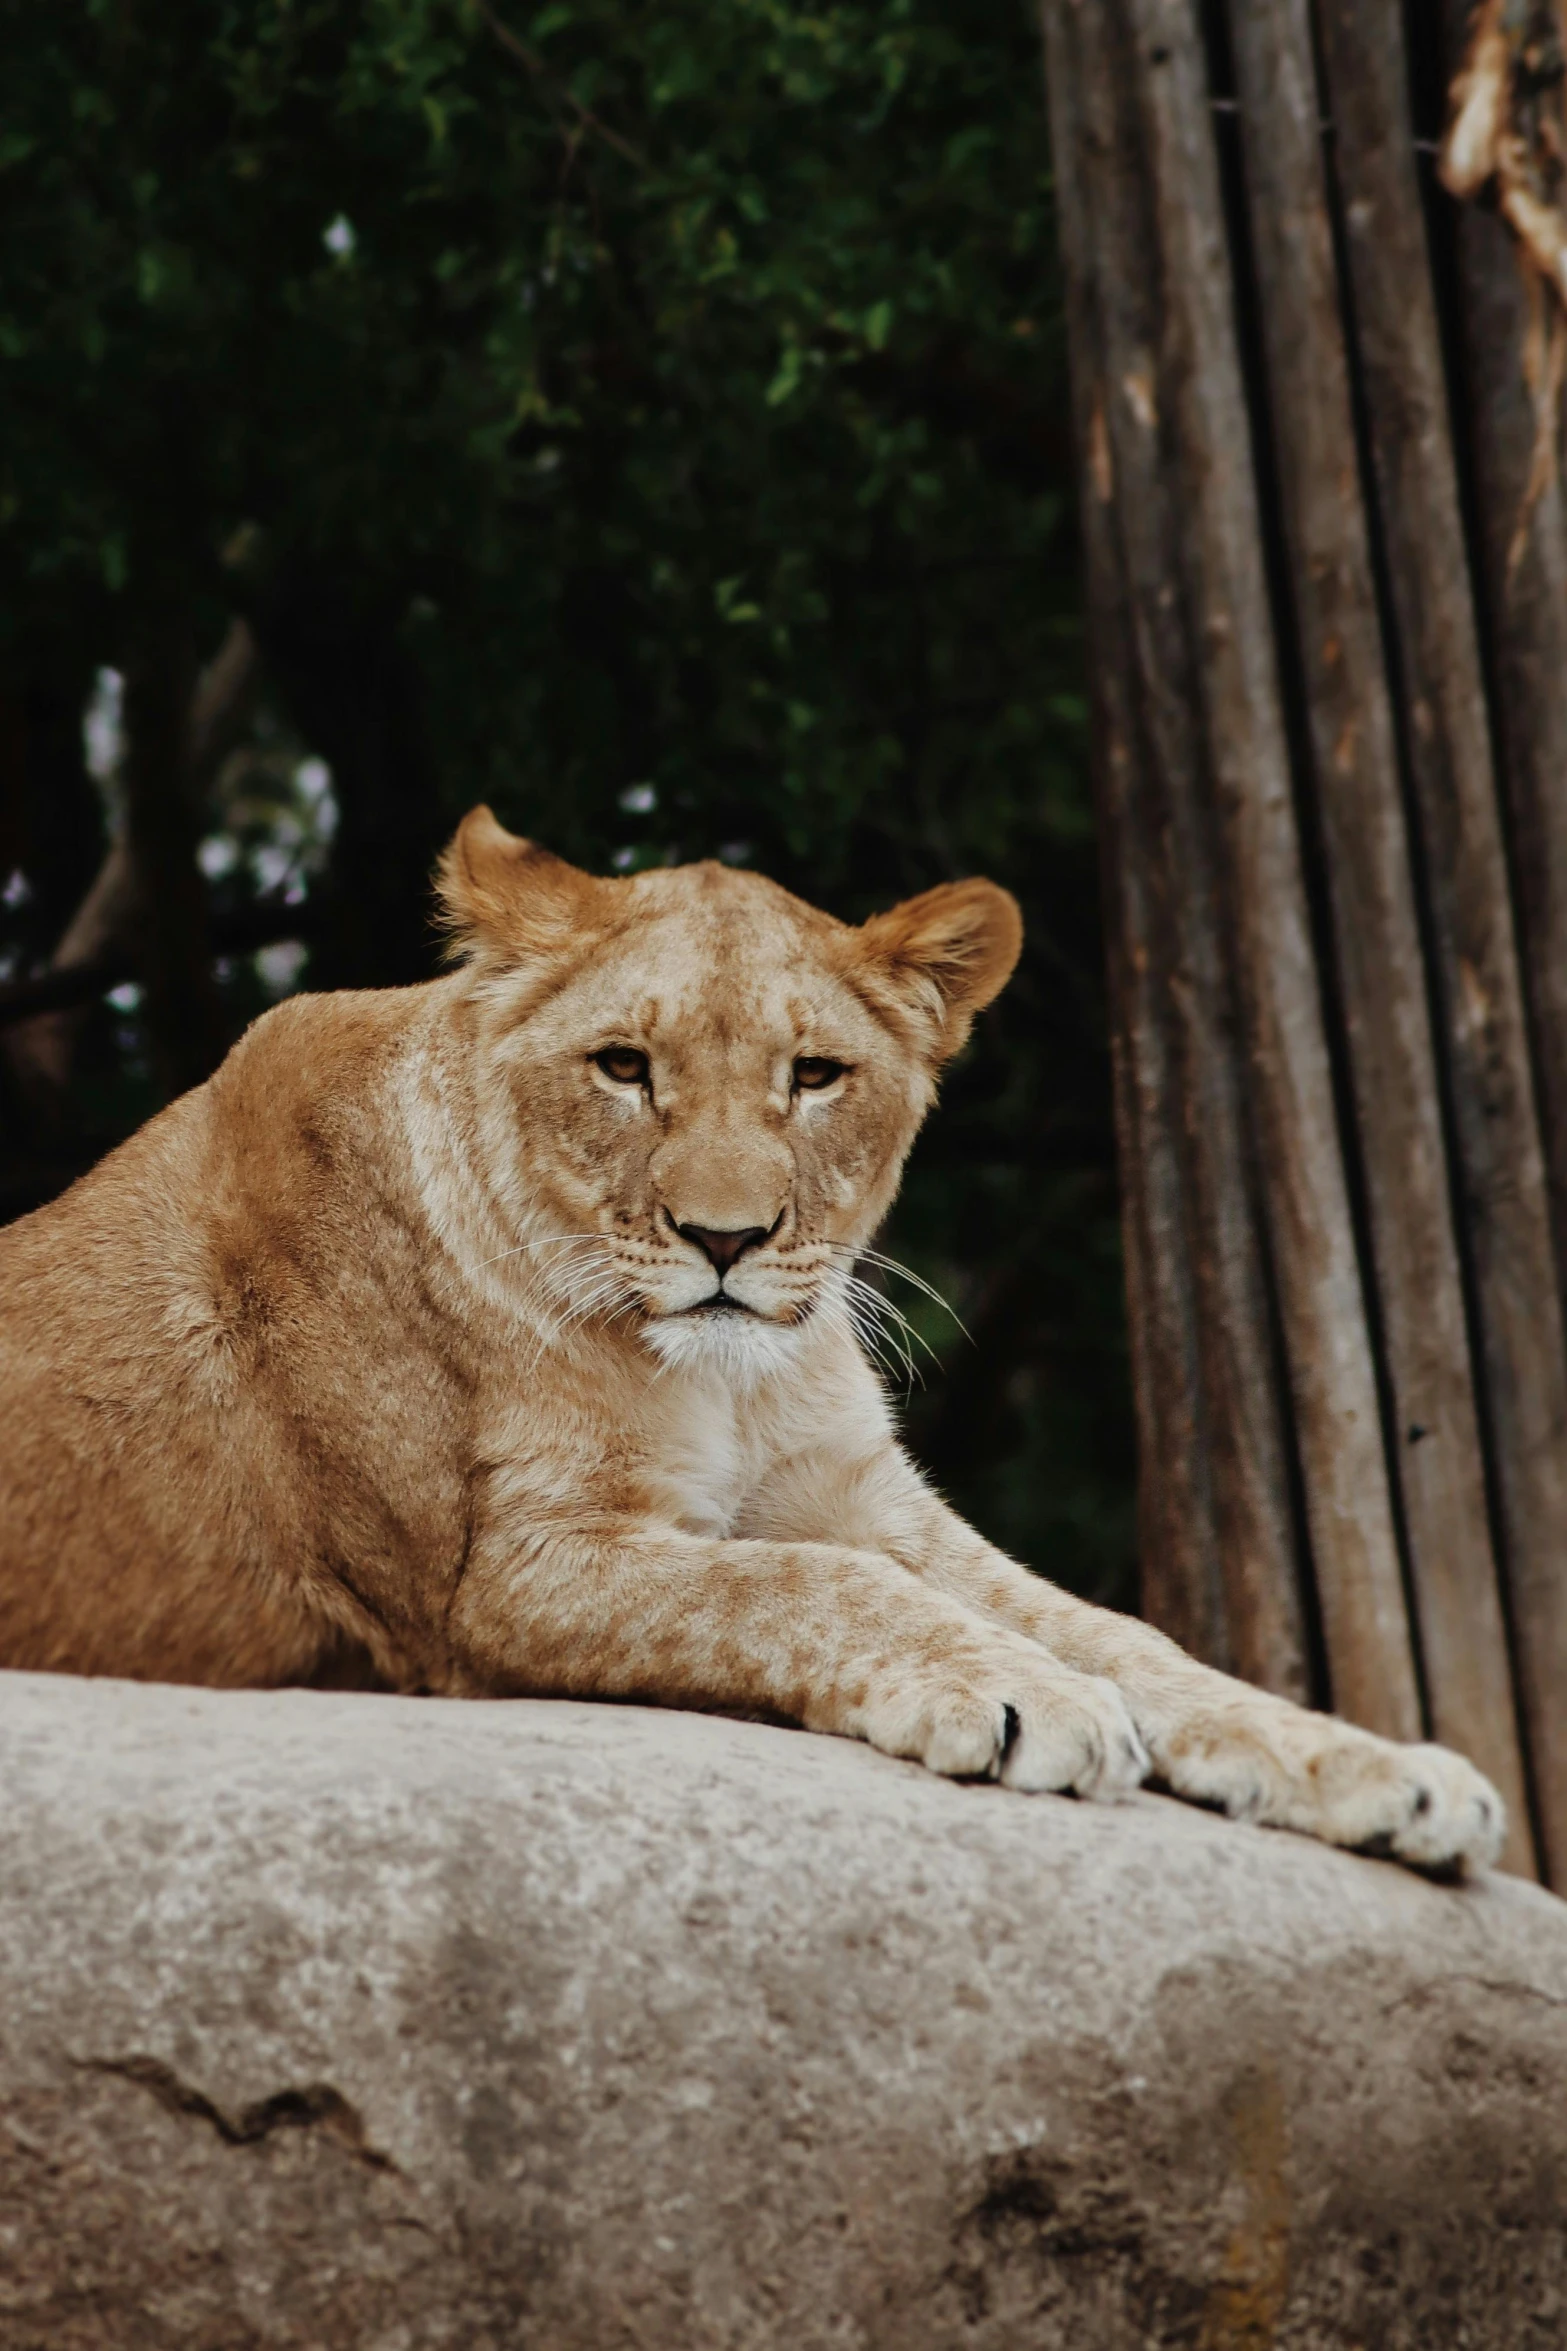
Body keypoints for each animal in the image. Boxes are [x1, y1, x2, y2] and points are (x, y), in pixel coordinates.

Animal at [0, 808, 1503, 1871]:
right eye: (622, 1065)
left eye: (815, 1074)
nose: (723, 1239)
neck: (718, 1381)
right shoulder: (492, 1588)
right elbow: (805, 1587)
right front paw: (1024, 1694)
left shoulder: (854, 1491)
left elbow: (1123, 1629)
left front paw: (1385, 1769)